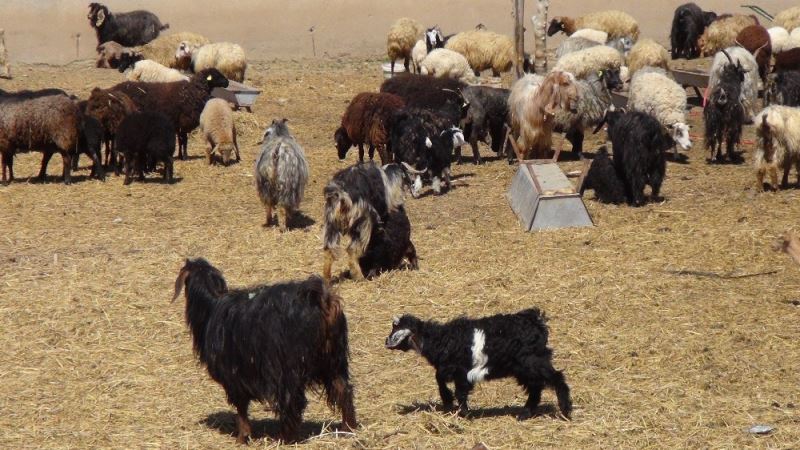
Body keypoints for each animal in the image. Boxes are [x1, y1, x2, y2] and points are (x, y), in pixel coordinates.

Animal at [172, 258, 356, 444]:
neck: (211, 307)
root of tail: (321, 299)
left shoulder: (234, 376)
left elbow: (241, 408)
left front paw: (242, 438)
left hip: (288, 368)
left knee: (292, 401)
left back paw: (284, 438)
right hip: (334, 360)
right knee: (344, 391)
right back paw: (348, 428)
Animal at [385, 308, 573, 420]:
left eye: (396, 329)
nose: (386, 342)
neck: (441, 340)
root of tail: (536, 321)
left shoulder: (461, 372)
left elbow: (460, 392)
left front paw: (464, 413)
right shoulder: (450, 370)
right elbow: (440, 380)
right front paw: (448, 403)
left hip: (533, 362)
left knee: (556, 378)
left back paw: (566, 410)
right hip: (524, 368)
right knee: (536, 387)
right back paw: (525, 413)